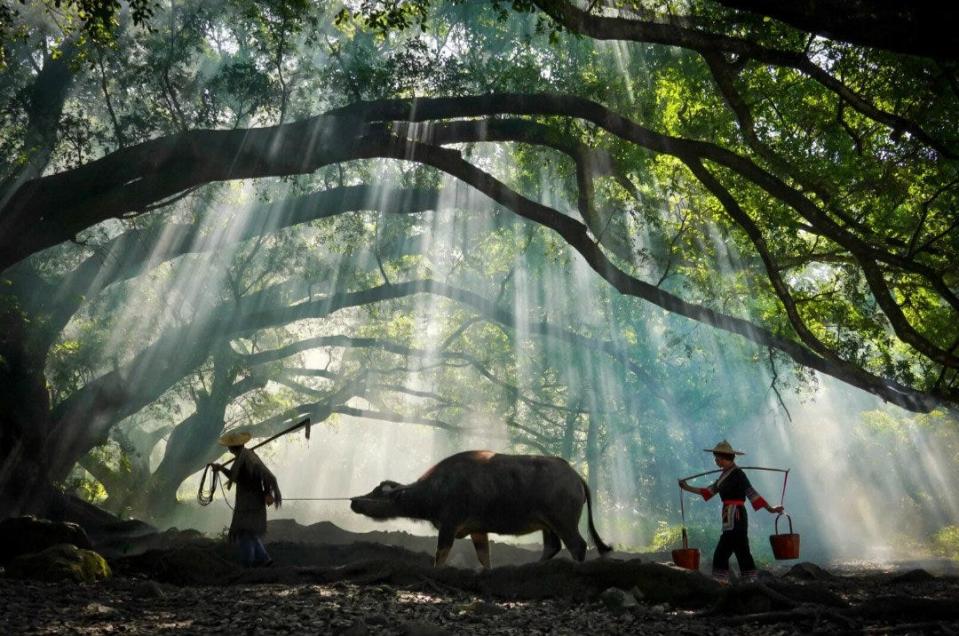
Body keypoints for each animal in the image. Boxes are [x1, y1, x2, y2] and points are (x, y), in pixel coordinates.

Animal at [348, 450, 612, 568]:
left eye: (378, 493)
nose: (354, 501)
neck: (439, 486)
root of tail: (576, 477)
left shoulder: (450, 524)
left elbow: (440, 554)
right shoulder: (477, 529)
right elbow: (484, 557)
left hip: (564, 521)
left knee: (577, 545)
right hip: (547, 524)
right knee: (552, 546)